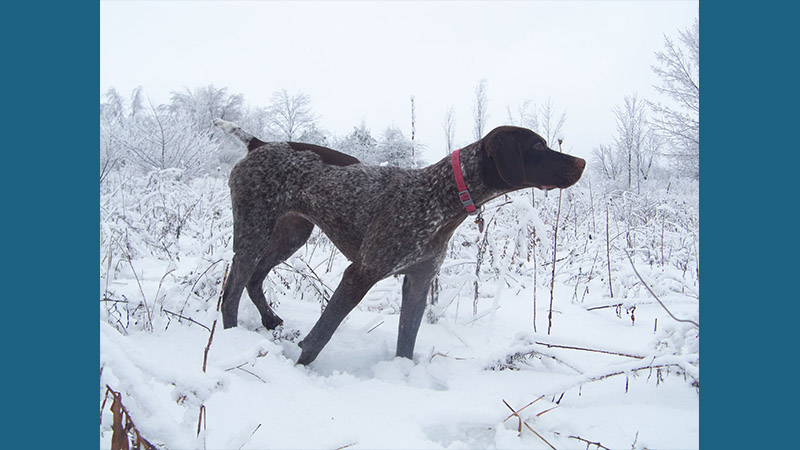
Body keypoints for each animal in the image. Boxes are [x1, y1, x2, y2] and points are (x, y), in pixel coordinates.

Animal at [212, 119, 584, 366]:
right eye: (538, 147)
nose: (581, 162)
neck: (441, 194)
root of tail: (259, 143)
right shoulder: (360, 273)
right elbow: (321, 335)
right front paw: (300, 367)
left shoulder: (419, 281)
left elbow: (407, 338)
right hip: (254, 231)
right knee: (232, 292)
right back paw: (232, 339)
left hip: (291, 234)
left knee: (253, 280)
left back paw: (270, 322)